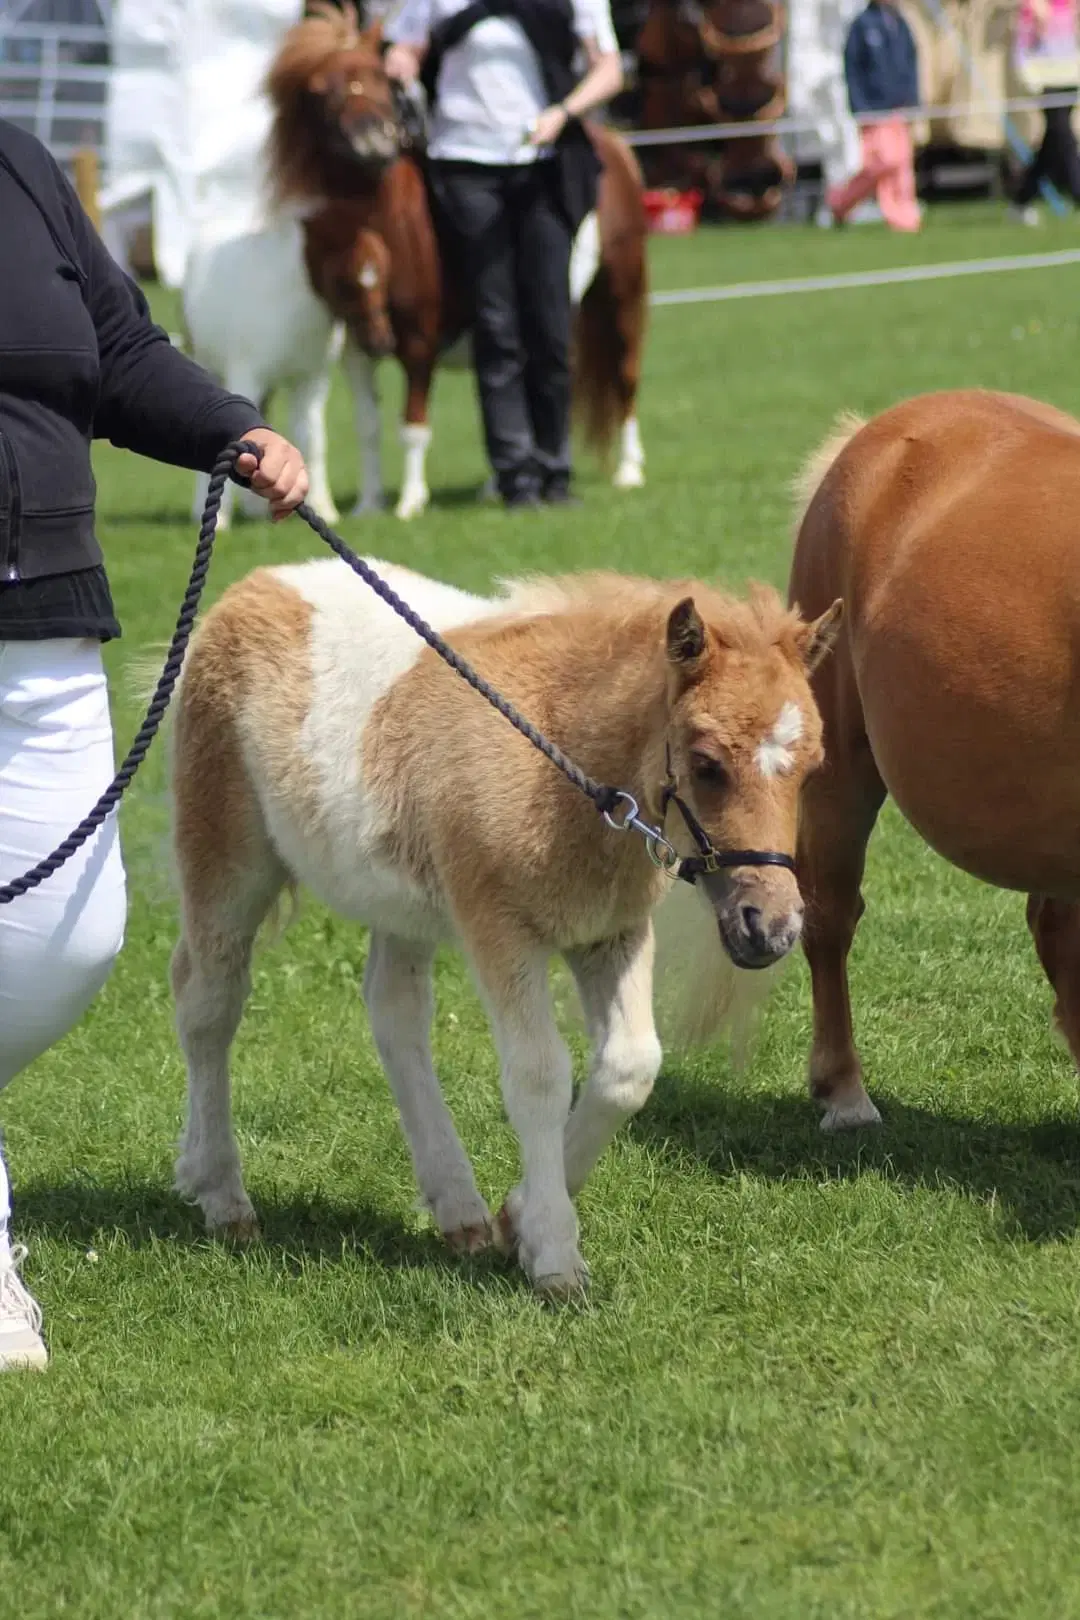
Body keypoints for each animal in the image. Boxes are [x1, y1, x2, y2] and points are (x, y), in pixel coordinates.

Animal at [169, 563, 841, 1296]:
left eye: (813, 766)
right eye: (707, 763)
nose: (771, 926)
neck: (565, 774)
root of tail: (259, 582)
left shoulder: (612, 933)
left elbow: (630, 1068)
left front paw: (515, 1217)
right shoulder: (501, 930)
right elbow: (539, 1075)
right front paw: (555, 1257)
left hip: (397, 899)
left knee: (394, 1015)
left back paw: (456, 1208)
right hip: (228, 858)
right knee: (208, 1004)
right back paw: (222, 1195)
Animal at [263, 1, 650, 511]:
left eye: (377, 76)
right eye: (319, 91)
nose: (372, 140)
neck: (392, 229)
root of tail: (616, 146)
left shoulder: (419, 343)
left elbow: (412, 425)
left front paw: (409, 504)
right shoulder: (357, 350)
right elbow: (368, 425)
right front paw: (369, 506)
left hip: (619, 297)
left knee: (624, 378)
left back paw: (627, 471)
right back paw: (502, 486)